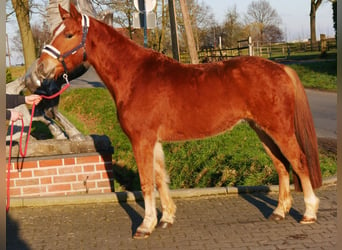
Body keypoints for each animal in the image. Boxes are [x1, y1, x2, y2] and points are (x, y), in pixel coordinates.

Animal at [36, 3, 322, 238]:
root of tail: (281, 68)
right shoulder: (154, 142)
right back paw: (279, 211)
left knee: (298, 161)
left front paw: (146, 225)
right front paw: (166, 218)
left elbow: (146, 182)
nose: (41, 69)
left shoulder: (141, 140)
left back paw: (309, 212)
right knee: (282, 165)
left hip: (279, 130)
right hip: (262, 131)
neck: (135, 76)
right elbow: (160, 178)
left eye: (69, 34)